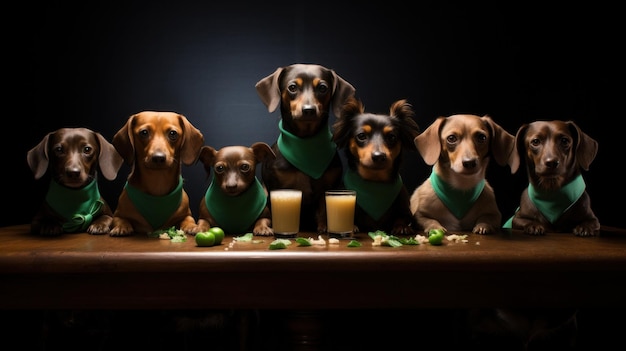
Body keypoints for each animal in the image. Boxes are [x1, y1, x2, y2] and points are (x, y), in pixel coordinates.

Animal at [252, 63, 352, 234]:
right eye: (292, 87)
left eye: (323, 88)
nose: (309, 110)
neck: (305, 142)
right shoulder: (274, 187)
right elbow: (271, 211)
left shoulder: (328, 187)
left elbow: (323, 209)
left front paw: (324, 226)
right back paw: (261, 227)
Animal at [332, 96, 420, 236]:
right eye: (361, 136)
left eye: (391, 137)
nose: (379, 156)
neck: (375, 182)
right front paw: (353, 226)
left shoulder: (405, 210)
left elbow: (403, 217)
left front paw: (402, 226)